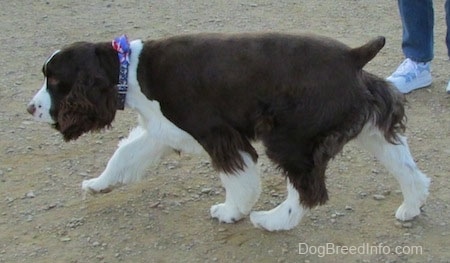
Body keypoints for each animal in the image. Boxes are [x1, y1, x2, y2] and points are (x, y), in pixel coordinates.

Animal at [26, 32, 430, 231]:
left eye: (55, 81)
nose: (30, 108)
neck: (131, 66)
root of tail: (352, 56)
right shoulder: (160, 128)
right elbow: (124, 155)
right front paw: (98, 184)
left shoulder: (218, 134)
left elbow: (239, 179)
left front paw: (231, 211)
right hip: (366, 125)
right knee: (407, 167)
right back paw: (411, 206)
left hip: (290, 137)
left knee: (308, 188)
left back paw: (274, 221)